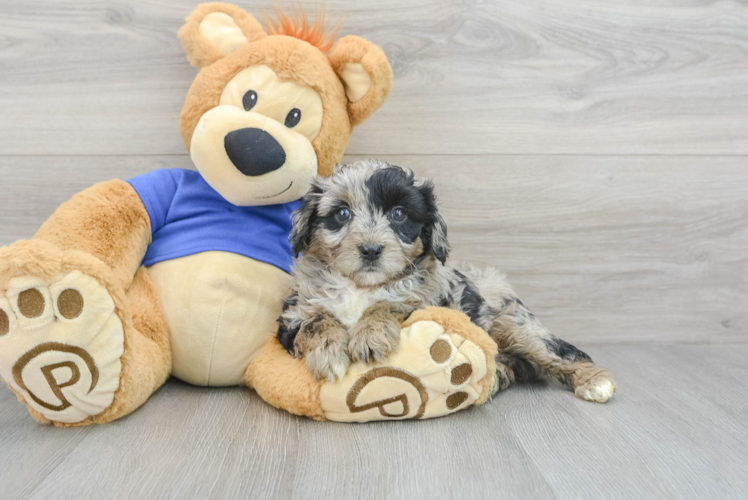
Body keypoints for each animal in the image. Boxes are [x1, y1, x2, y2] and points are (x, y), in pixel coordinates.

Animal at [278, 160, 616, 402]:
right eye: (342, 213)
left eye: (399, 214)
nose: (371, 250)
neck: (362, 286)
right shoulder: (292, 315)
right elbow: (317, 320)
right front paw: (329, 353)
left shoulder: (428, 305)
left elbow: (391, 304)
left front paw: (370, 336)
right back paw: (495, 378)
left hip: (516, 325)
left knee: (561, 352)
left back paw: (595, 381)